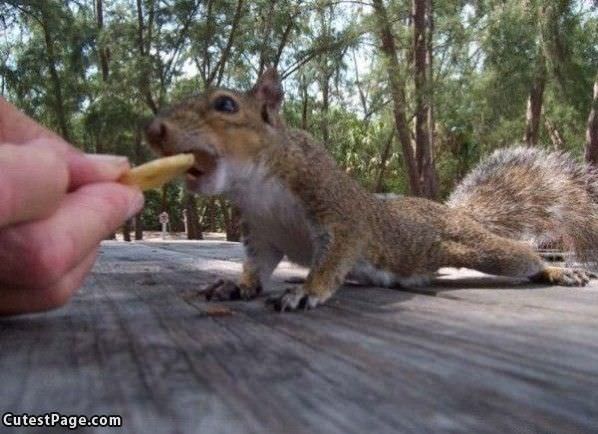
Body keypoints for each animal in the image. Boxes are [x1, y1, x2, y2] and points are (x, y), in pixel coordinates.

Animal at [146, 68, 598, 310]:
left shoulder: (336, 210)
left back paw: (557, 271)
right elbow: (258, 265)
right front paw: (236, 285)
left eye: (226, 105)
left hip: (469, 246)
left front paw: (306, 291)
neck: (256, 187)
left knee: (517, 256)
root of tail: (450, 212)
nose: (154, 131)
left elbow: (334, 257)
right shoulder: (263, 233)